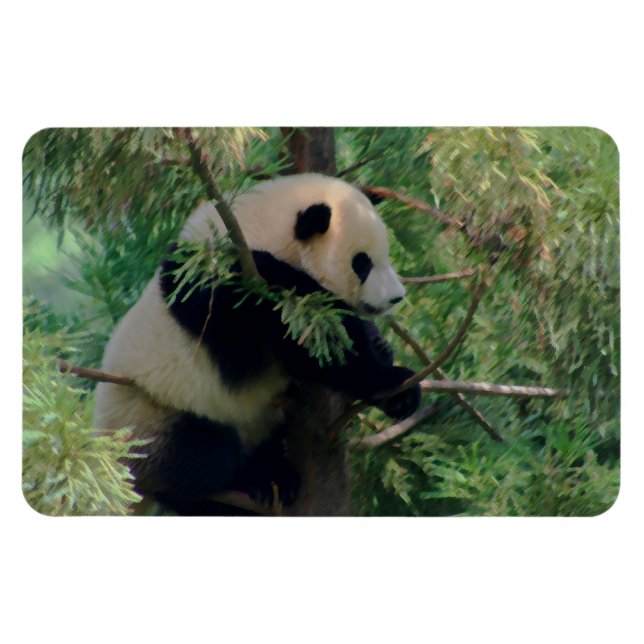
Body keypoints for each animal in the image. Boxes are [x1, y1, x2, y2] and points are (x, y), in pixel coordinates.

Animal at [93, 173, 421, 515]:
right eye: (362, 263)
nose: (396, 297)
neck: (257, 229)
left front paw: (382, 352)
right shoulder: (223, 286)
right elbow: (307, 348)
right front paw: (391, 383)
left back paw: (276, 477)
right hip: (155, 415)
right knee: (203, 461)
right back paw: (257, 481)